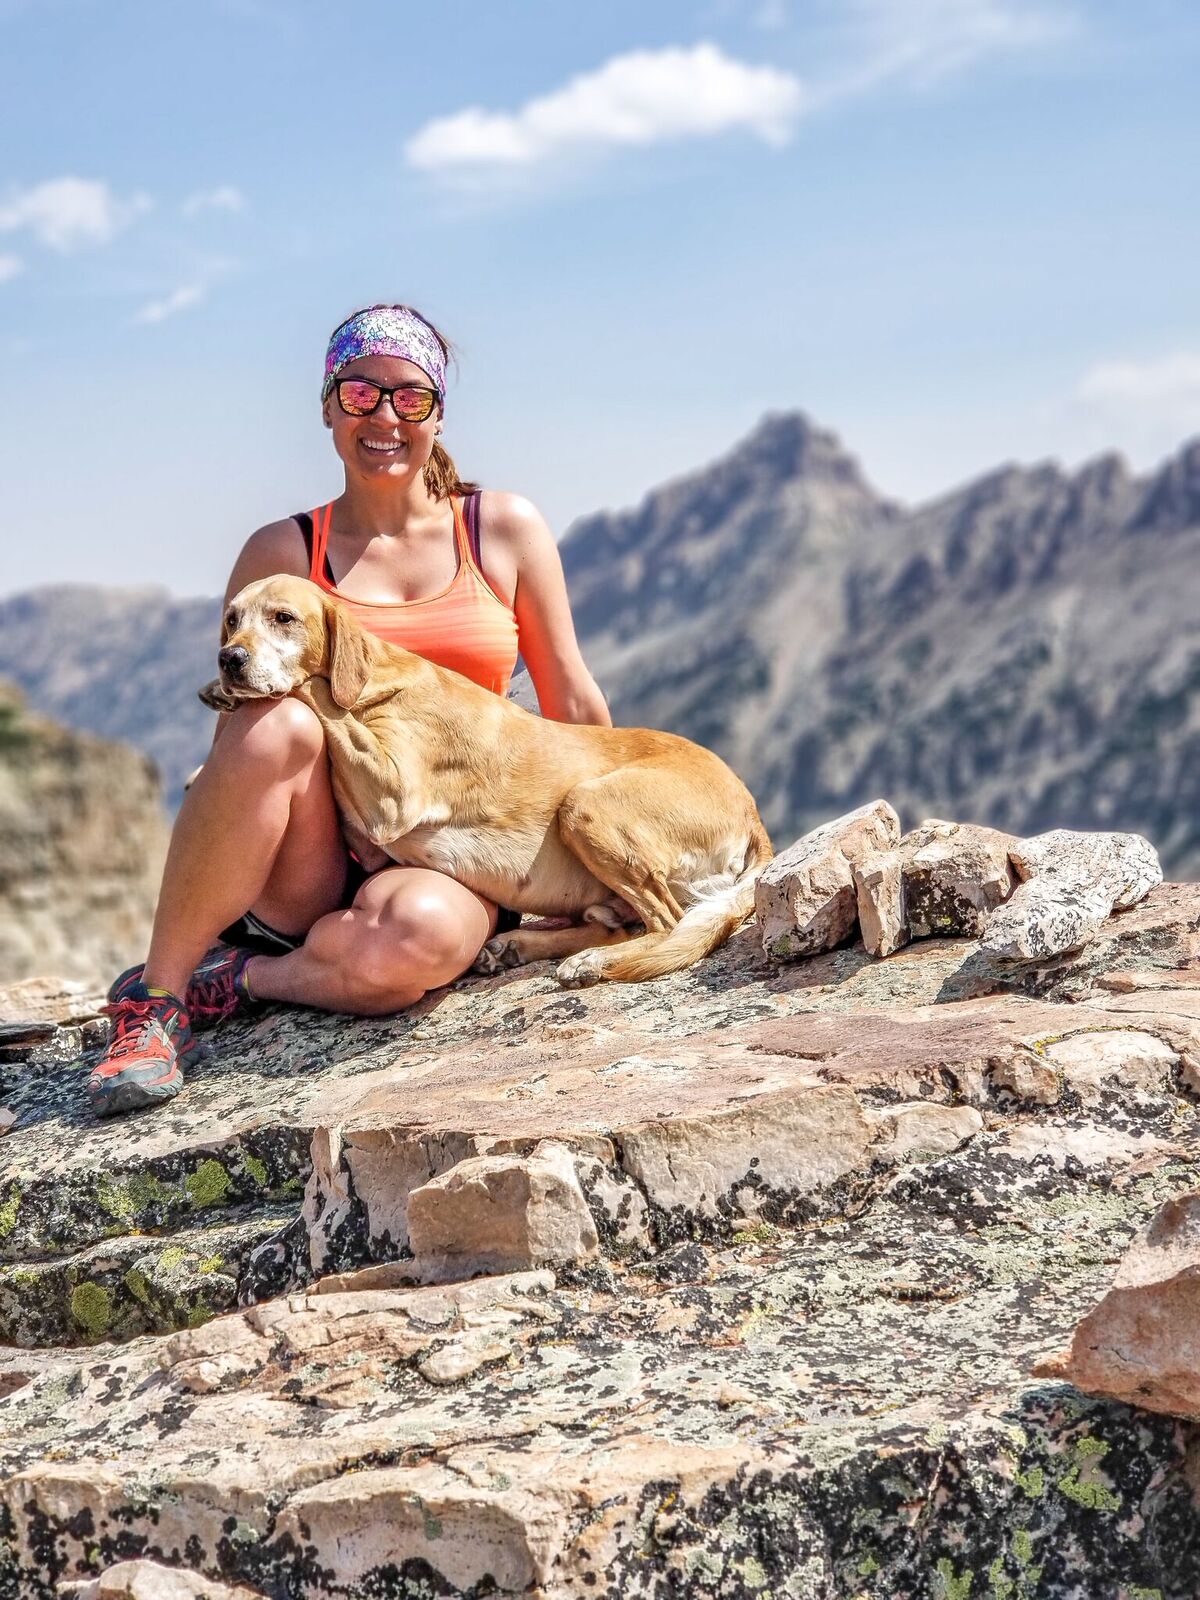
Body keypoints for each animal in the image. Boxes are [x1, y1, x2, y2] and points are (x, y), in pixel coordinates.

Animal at [211, 569, 774, 979]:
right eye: (232, 619)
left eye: (284, 617)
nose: (229, 659)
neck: (376, 681)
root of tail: (752, 812)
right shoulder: (369, 837)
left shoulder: (392, 797)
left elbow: (313, 693)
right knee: (622, 924)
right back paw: (519, 946)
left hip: (585, 806)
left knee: (665, 923)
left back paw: (589, 962)